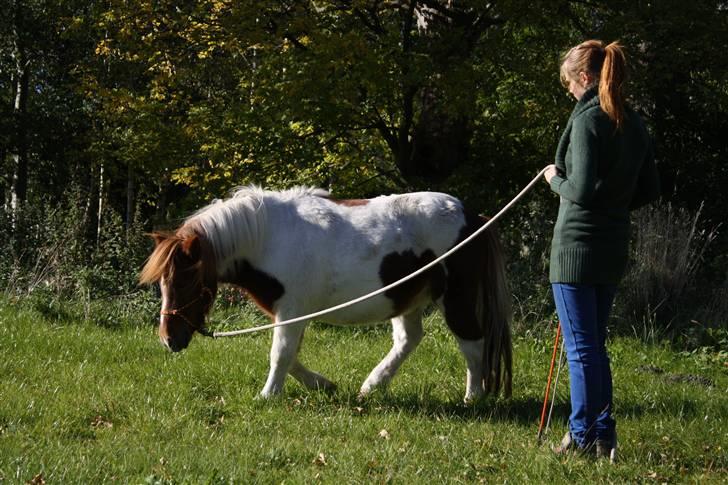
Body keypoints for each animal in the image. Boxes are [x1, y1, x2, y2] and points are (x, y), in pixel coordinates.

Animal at [139, 185, 510, 400]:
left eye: (184, 281)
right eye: (162, 283)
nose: (168, 339)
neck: (268, 238)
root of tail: (475, 219)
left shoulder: (291, 310)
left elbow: (281, 354)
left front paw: (267, 396)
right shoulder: (293, 314)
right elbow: (291, 356)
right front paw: (323, 385)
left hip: (457, 298)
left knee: (472, 344)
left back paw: (473, 398)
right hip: (406, 298)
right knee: (409, 339)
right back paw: (372, 386)